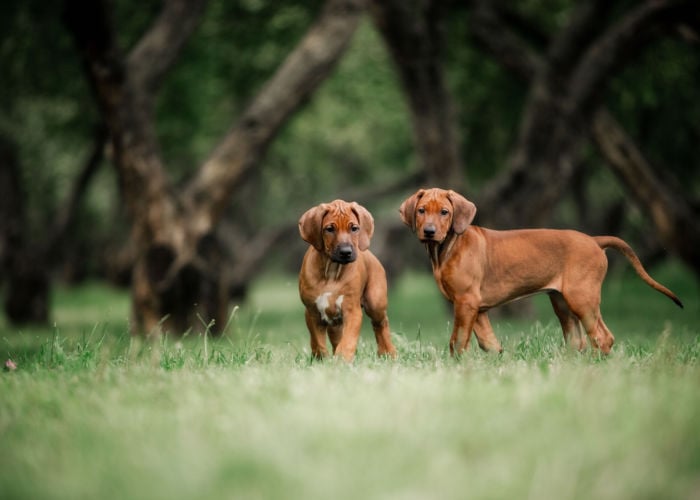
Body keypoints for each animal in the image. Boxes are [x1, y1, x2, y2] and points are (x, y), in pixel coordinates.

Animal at [296, 198, 400, 360]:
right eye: (329, 229)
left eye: (354, 228)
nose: (346, 252)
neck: (332, 271)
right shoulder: (312, 312)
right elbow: (318, 341)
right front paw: (321, 359)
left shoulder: (352, 311)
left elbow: (348, 340)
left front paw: (342, 359)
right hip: (335, 322)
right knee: (335, 336)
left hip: (375, 302)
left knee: (381, 324)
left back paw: (388, 352)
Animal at [400, 187, 684, 356]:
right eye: (421, 211)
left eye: (445, 212)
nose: (429, 231)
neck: (447, 247)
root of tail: (594, 240)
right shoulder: (475, 308)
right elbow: (488, 343)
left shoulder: (466, 301)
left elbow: (457, 341)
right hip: (562, 302)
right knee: (577, 340)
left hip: (582, 298)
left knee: (603, 336)